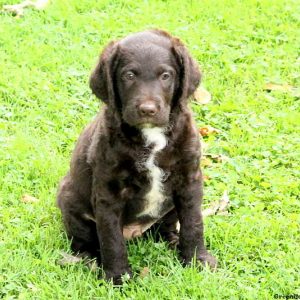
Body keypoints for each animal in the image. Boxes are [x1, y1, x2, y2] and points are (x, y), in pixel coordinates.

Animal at [56, 28, 216, 284]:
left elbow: (193, 223)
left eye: (165, 75)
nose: (147, 110)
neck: (151, 136)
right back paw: (90, 259)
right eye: (129, 75)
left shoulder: (189, 180)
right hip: (70, 201)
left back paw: (173, 241)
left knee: (165, 227)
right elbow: (111, 238)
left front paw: (197, 260)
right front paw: (118, 276)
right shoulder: (108, 191)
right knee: (85, 240)